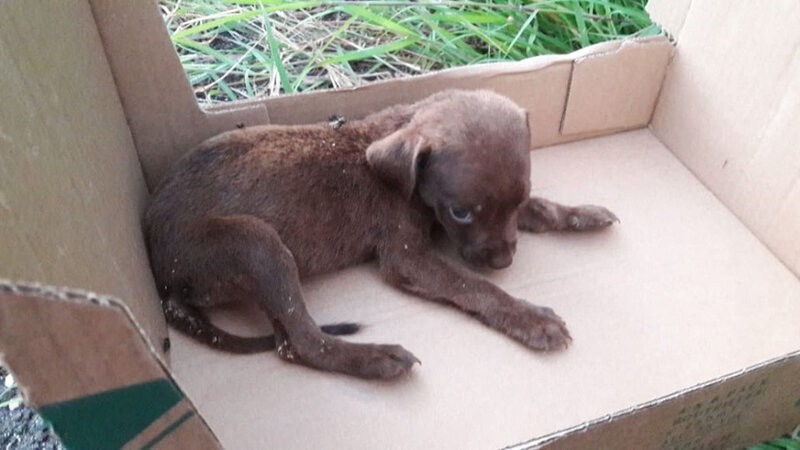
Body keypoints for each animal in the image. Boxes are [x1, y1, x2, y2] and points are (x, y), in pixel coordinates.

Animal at [144, 90, 620, 380]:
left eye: (518, 199)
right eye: (460, 212)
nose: (504, 262)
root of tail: (162, 278)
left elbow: (541, 211)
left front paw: (580, 213)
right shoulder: (406, 257)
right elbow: (471, 285)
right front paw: (529, 317)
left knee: (285, 340)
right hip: (256, 244)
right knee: (302, 343)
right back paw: (377, 358)